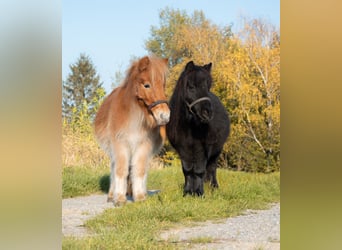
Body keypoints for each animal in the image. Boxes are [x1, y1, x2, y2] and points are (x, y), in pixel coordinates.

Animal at [93, 55, 170, 206]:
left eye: (163, 85)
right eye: (147, 85)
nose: (164, 116)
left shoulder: (143, 146)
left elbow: (139, 170)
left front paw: (139, 197)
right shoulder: (120, 145)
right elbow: (121, 170)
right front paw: (119, 199)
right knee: (114, 168)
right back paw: (112, 195)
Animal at [166, 60, 230, 195]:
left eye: (208, 87)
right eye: (191, 87)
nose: (207, 113)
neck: (190, 127)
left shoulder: (203, 148)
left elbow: (200, 170)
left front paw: (199, 192)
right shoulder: (183, 148)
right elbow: (187, 170)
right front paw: (187, 192)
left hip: (217, 149)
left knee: (212, 168)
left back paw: (214, 187)